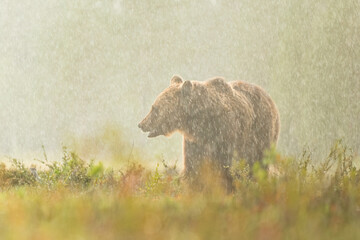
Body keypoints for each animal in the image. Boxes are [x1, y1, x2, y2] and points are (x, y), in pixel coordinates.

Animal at [139, 76, 282, 188]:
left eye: (154, 108)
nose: (141, 124)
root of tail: (269, 98)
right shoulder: (194, 142)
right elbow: (193, 166)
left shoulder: (224, 135)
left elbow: (225, 166)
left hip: (262, 133)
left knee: (259, 162)